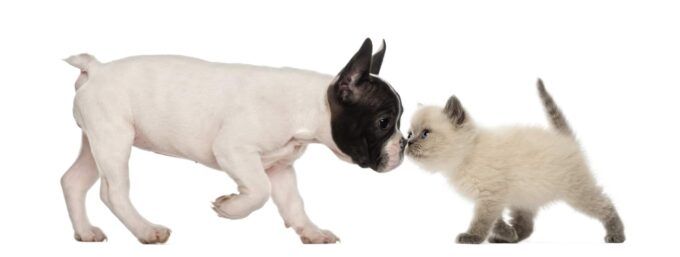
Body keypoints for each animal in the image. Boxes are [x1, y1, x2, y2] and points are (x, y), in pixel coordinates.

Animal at [59, 38, 404, 244]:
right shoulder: (234, 150)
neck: (311, 106)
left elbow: (293, 203)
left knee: (74, 181)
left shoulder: (280, 168)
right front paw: (230, 207)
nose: (405, 142)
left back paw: (85, 232)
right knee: (113, 192)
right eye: (384, 122)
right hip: (114, 139)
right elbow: (259, 191)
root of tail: (97, 69)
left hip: (95, 141)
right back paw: (147, 230)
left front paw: (311, 232)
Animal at [406, 79, 624, 242]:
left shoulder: (489, 197)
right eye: (410, 133)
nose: (408, 142)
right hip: (525, 196)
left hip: (576, 191)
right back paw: (512, 238)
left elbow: (482, 221)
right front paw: (508, 233)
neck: (466, 156)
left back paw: (617, 235)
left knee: (605, 205)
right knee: (527, 225)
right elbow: (496, 222)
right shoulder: (491, 198)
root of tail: (564, 138)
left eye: (425, 134)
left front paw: (472, 237)